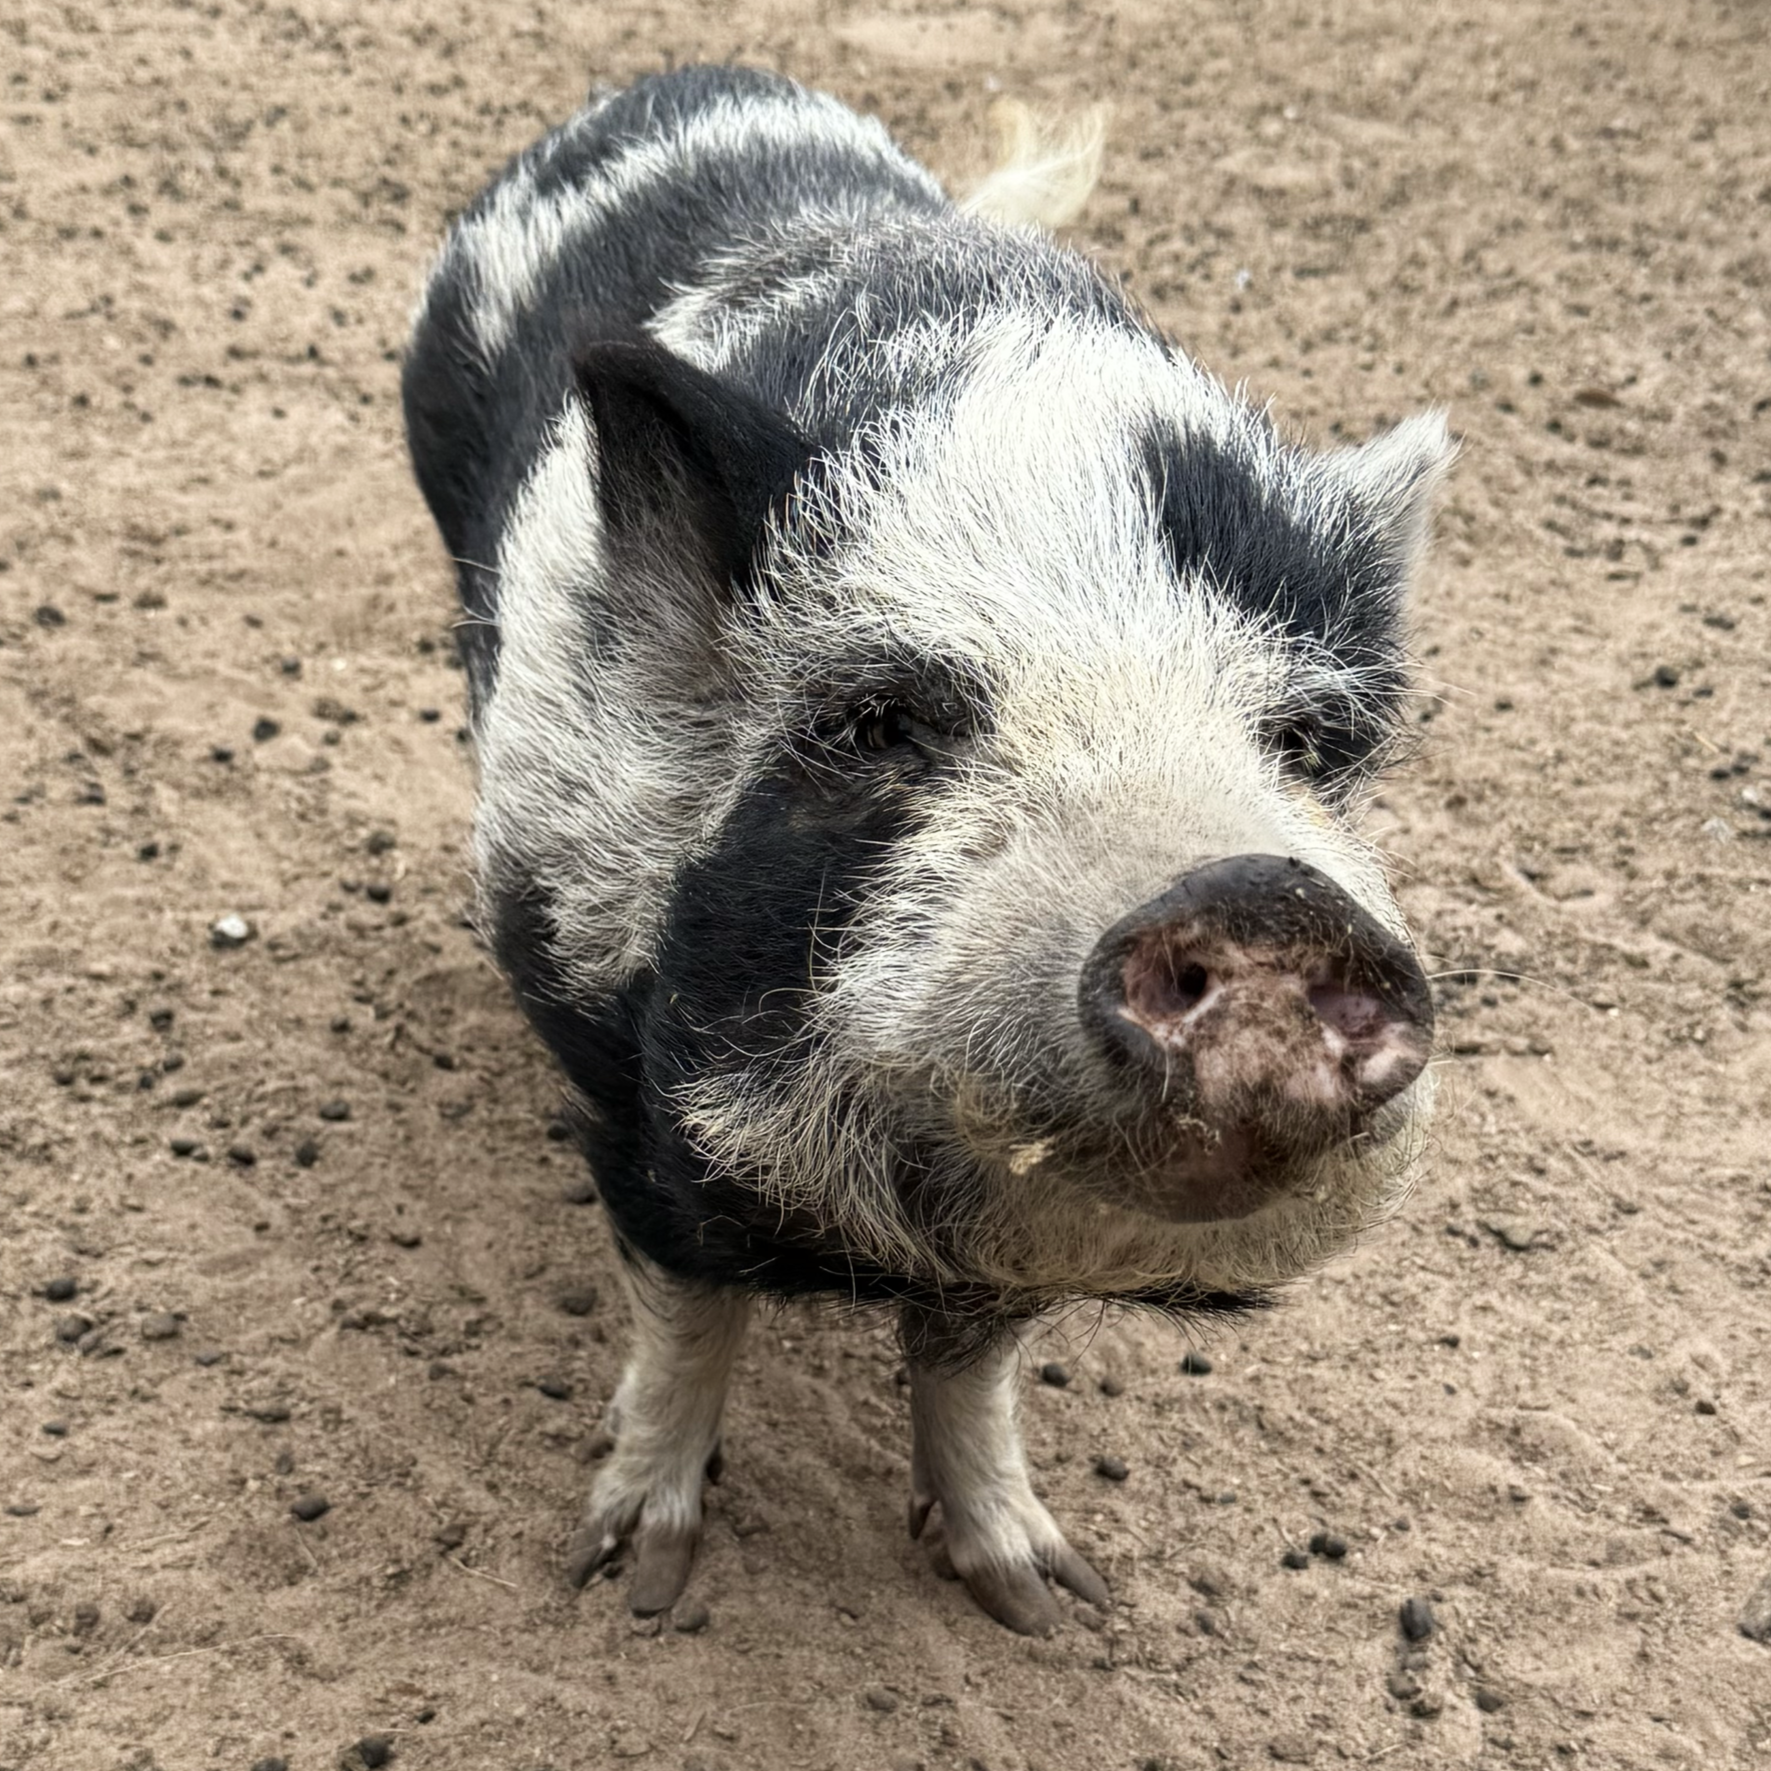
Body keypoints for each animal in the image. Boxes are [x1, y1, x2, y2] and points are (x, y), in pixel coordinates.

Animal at [402, 65, 1448, 1635]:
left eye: (1312, 743)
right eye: (877, 719)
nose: (1260, 890)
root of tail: (683, 81)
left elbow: (971, 1366)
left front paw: (1052, 1604)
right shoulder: (620, 1073)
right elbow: (685, 1319)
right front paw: (631, 1578)